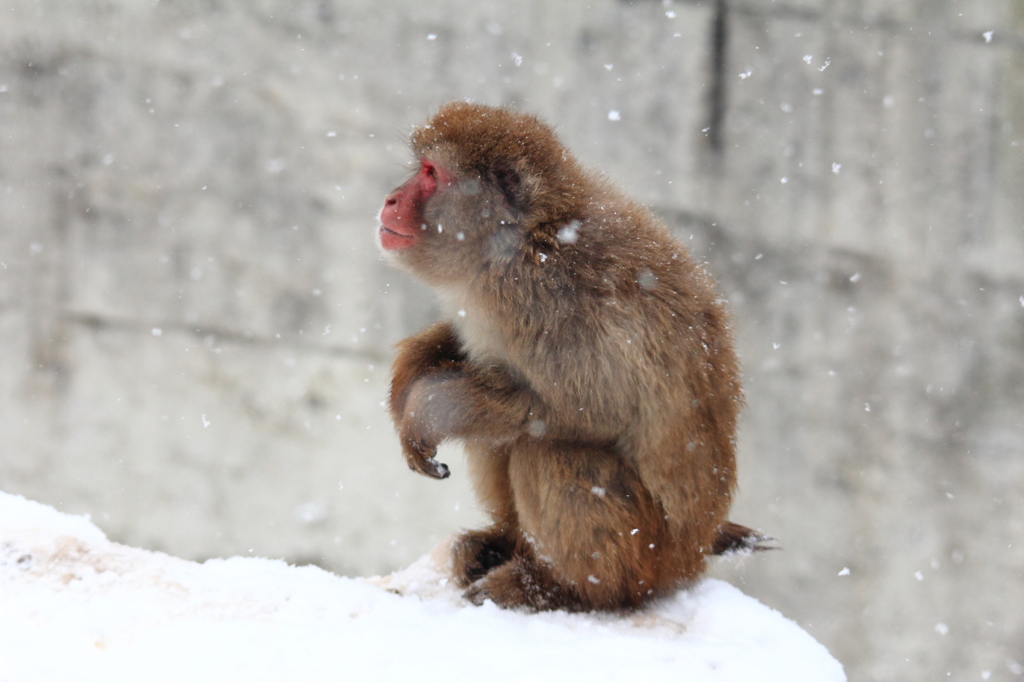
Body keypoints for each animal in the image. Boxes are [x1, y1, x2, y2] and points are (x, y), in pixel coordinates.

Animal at [378, 100, 761, 610]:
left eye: (431, 173)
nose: (390, 200)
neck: (523, 239)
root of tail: (696, 548)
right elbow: (471, 350)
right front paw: (412, 371)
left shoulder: (549, 296)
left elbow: (591, 409)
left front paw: (428, 406)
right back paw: (502, 545)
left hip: (651, 551)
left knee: (547, 449)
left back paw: (561, 587)